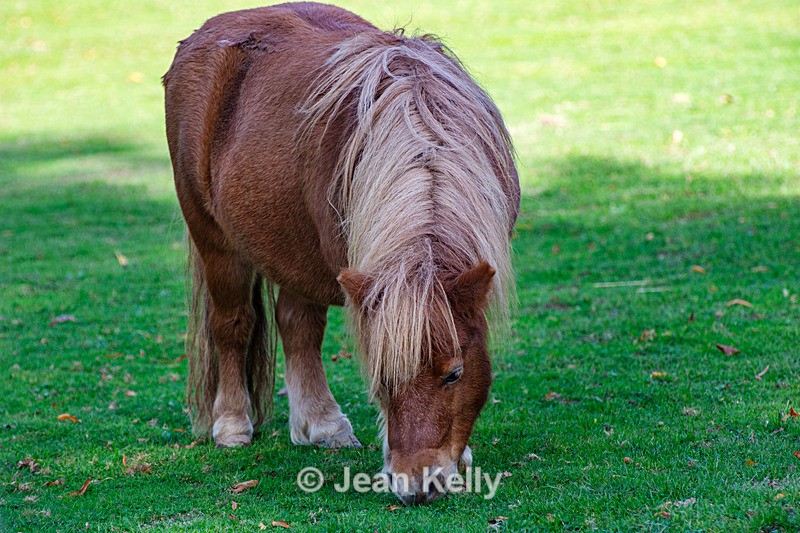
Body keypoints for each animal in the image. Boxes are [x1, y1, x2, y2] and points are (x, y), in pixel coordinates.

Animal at [163, 1, 519, 504]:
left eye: (454, 374)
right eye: (380, 376)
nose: (417, 486)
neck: (422, 130)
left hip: (296, 249)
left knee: (297, 326)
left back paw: (321, 426)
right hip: (214, 239)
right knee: (232, 324)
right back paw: (232, 425)